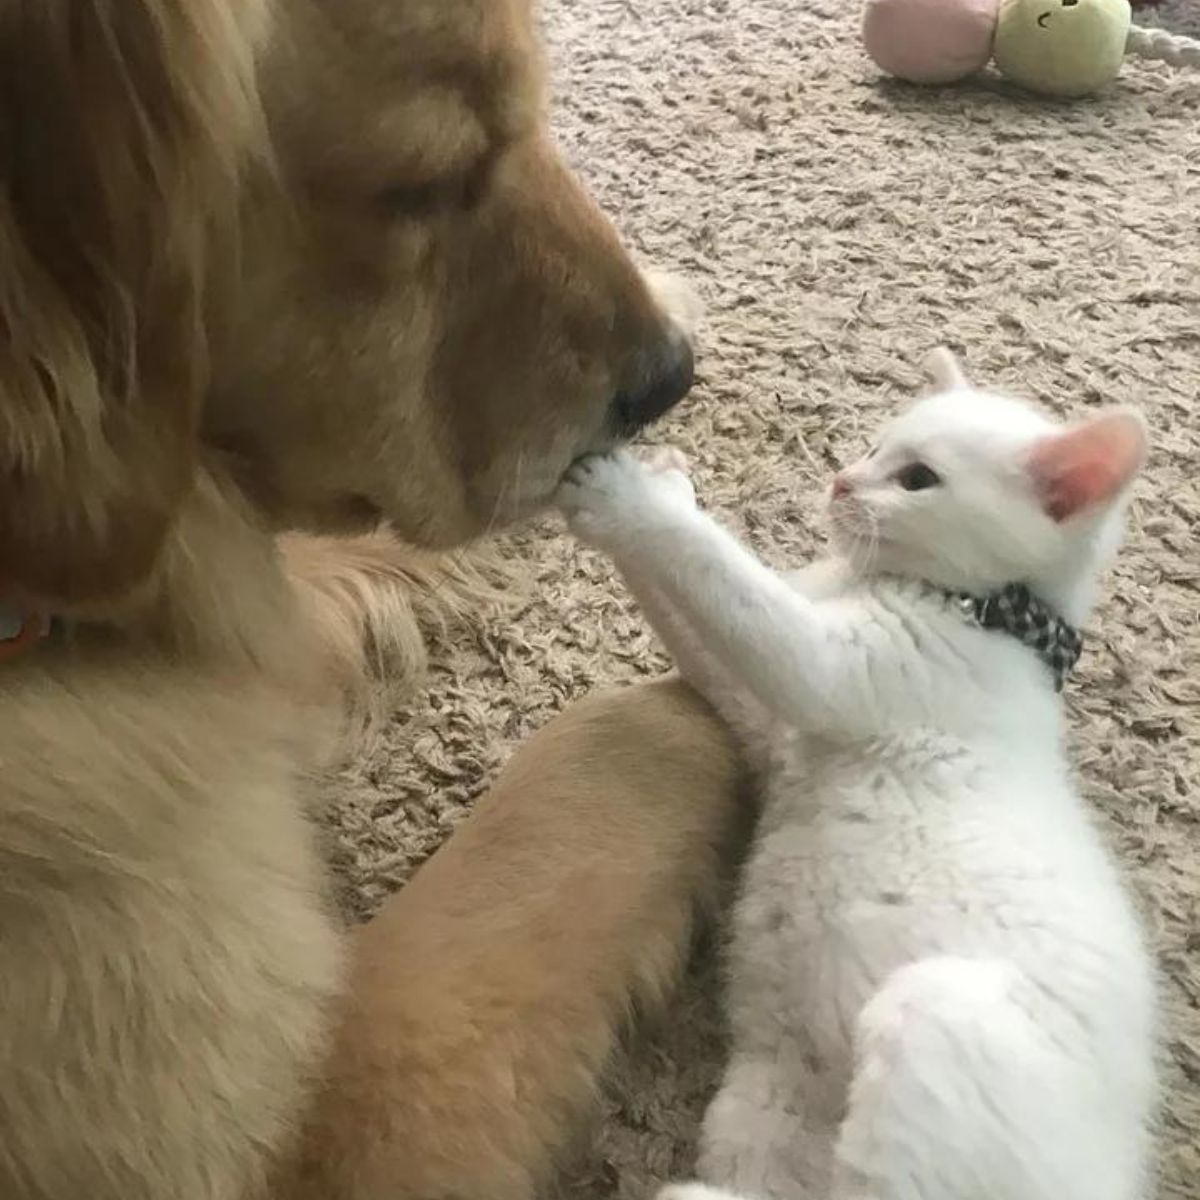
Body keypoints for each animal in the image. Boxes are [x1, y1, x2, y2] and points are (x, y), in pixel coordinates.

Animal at [556, 352, 1156, 1200]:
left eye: (917, 479)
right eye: (876, 446)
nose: (842, 481)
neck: (989, 617)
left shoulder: (830, 669)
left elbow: (722, 573)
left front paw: (627, 495)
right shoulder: (764, 724)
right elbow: (696, 619)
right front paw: (663, 479)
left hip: (931, 1014)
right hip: (762, 1112)